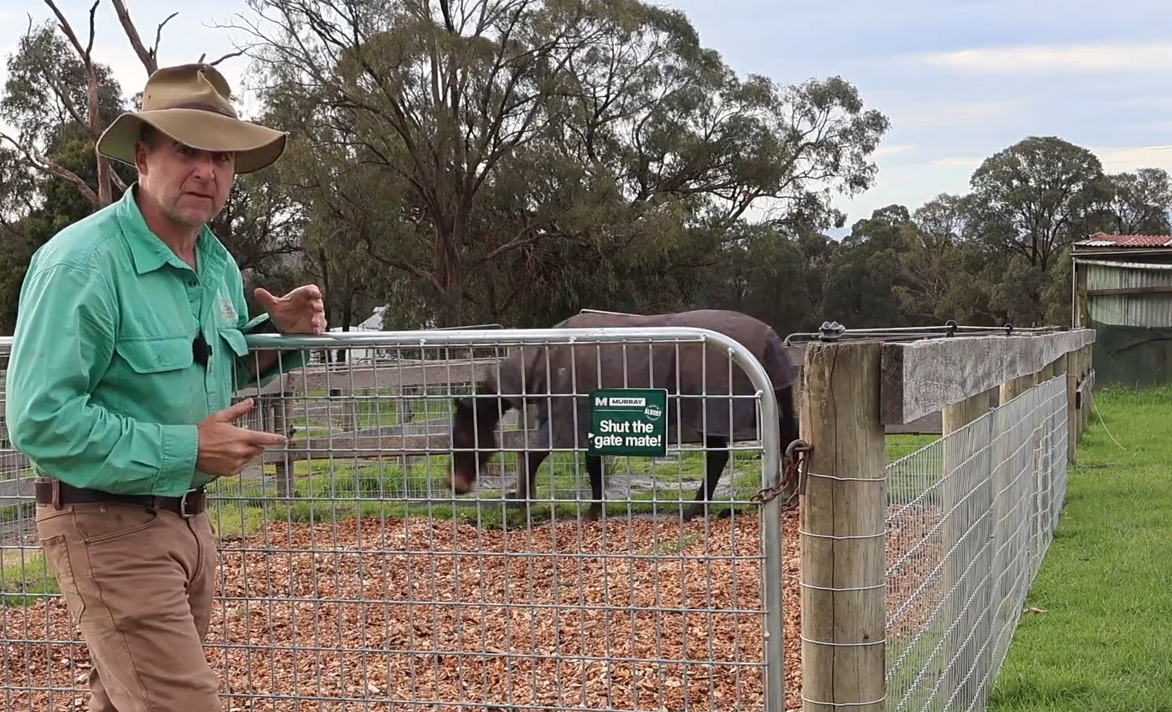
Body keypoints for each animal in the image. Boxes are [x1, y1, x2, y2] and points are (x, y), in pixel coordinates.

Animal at [445, 309, 800, 522]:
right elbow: (593, 465)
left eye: (462, 435)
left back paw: (693, 510)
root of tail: (769, 337)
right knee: (787, 440)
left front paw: (521, 504)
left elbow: (533, 455)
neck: (548, 358)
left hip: (714, 412)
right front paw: (593, 510)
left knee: (720, 457)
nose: (454, 484)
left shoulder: (563, 420)